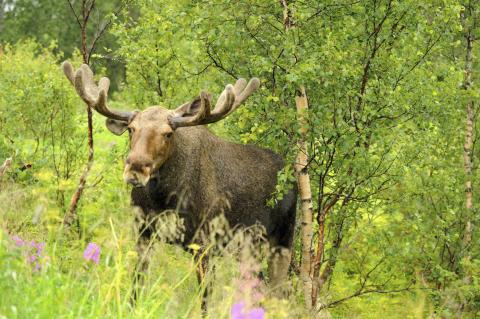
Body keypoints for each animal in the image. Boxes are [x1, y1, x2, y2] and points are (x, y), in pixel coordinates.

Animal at [61, 63, 296, 300]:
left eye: (167, 133)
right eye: (131, 129)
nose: (136, 168)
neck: (164, 199)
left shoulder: (204, 242)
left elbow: (205, 299)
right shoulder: (144, 233)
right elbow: (136, 286)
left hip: (281, 241)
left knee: (278, 290)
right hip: (248, 249)